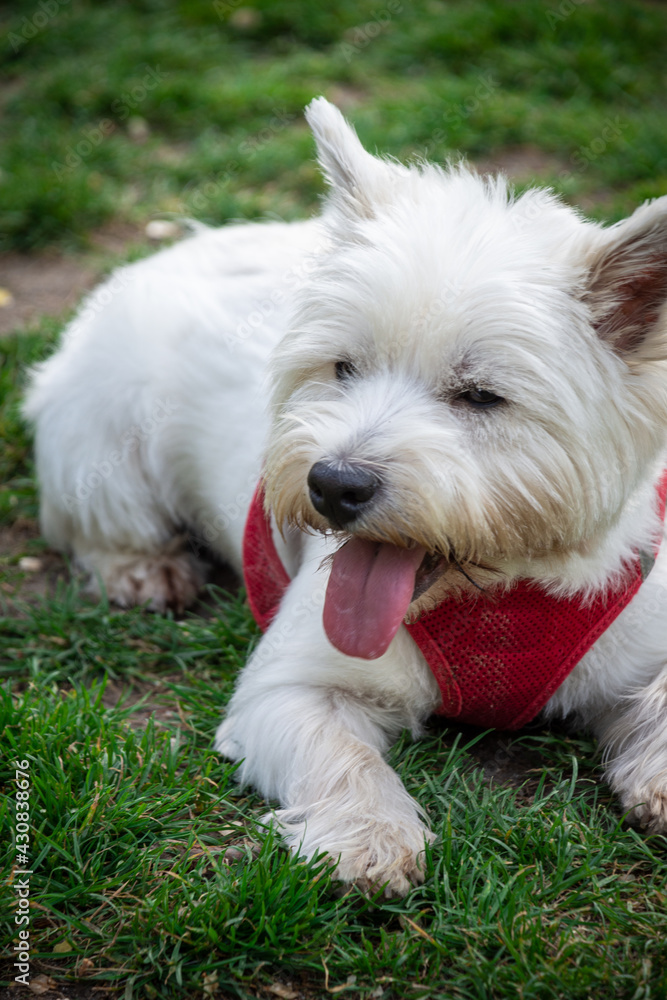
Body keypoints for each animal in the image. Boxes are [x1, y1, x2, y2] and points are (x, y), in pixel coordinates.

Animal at [26, 97, 667, 896]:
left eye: (480, 396)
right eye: (343, 367)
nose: (333, 484)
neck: (498, 592)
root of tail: (169, 248)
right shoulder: (290, 684)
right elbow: (341, 755)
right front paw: (371, 837)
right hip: (105, 449)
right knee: (96, 524)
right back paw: (145, 570)